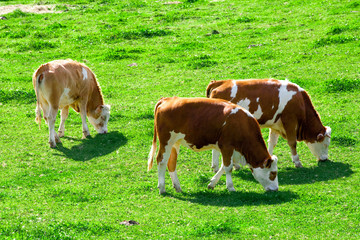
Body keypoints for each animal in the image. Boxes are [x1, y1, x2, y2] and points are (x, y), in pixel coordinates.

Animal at [146, 96, 278, 194]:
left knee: (171, 163)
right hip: (166, 142)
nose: (276, 189)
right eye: (273, 173)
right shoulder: (227, 147)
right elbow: (228, 168)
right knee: (161, 161)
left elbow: (223, 167)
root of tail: (167, 99)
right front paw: (231, 187)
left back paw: (177, 187)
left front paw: (212, 183)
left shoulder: (229, 150)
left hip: (175, 142)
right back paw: (162, 188)